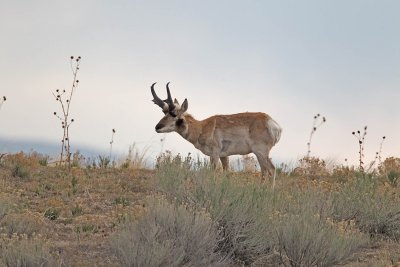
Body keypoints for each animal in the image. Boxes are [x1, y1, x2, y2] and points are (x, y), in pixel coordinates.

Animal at [150, 82, 282, 179]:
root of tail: (273, 123)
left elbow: (212, 172)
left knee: (271, 170)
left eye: (175, 115)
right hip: (260, 154)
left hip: (260, 152)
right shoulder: (224, 156)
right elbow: (226, 172)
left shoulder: (214, 154)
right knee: (265, 171)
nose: (157, 127)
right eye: (164, 113)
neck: (202, 127)